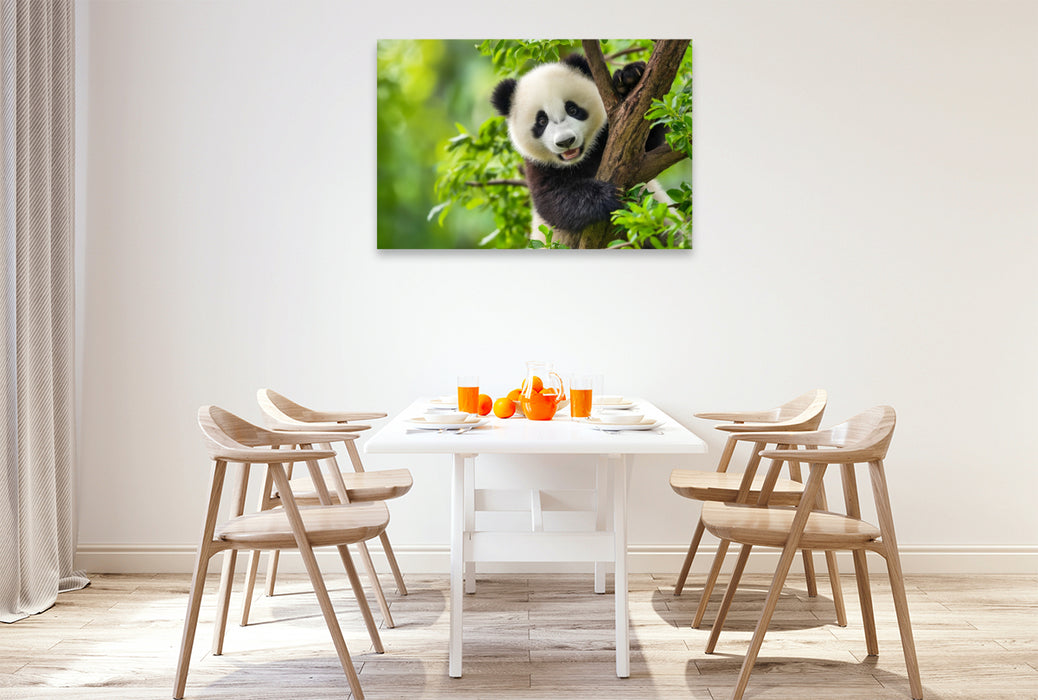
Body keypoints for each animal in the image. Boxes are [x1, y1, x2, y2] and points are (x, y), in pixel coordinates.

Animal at [490, 53, 666, 241]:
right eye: (542, 121)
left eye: (572, 109)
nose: (566, 141)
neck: (579, 162)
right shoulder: (538, 167)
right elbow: (553, 201)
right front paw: (607, 196)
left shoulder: (610, 137)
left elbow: (648, 139)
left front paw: (630, 77)